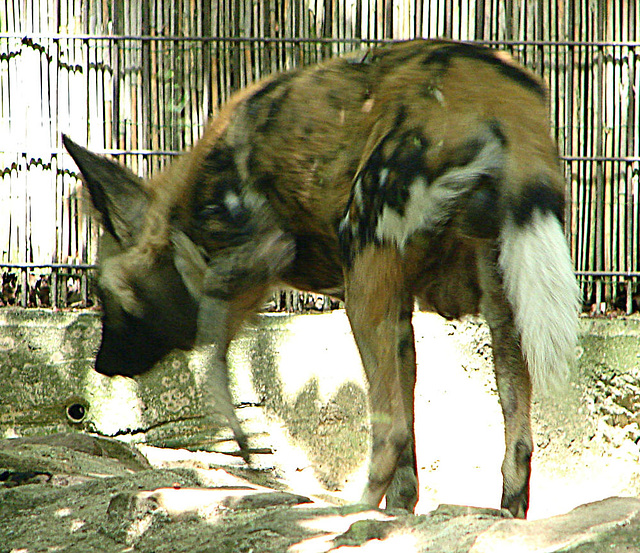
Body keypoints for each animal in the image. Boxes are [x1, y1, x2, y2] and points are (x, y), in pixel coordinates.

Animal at [63, 40, 580, 516]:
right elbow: (410, 452)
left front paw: (247, 453)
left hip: (362, 276)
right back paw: (502, 514)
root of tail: (498, 93)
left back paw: (353, 513)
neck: (184, 208)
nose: (100, 365)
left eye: (105, 297)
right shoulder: (399, 315)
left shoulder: (253, 267)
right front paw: (401, 513)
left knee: (389, 431)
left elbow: (220, 372)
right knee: (515, 436)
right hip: (500, 303)